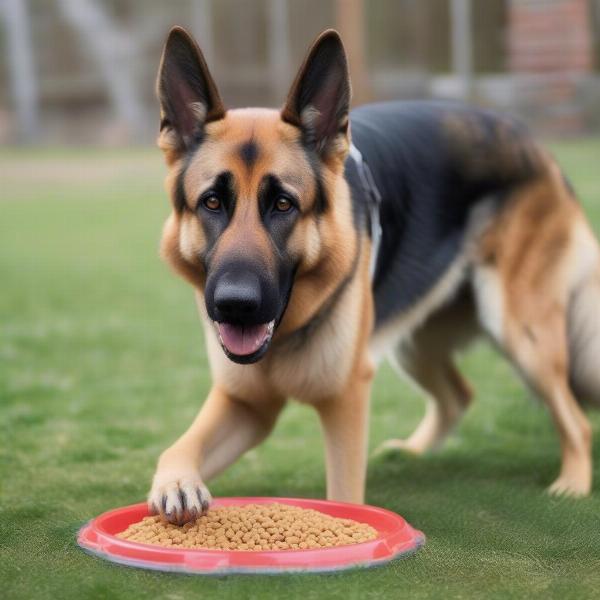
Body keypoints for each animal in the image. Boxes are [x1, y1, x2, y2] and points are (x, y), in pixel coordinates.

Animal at [149, 27, 600, 524]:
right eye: (211, 202)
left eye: (283, 204)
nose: (234, 304)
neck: (288, 332)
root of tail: (531, 143)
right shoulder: (248, 405)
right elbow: (173, 449)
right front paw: (176, 484)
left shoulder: (346, 403)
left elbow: (344, 497)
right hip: (414, 342)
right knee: (459, 394)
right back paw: (411, 452)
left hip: (520, 332)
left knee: (576, 421)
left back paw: (571, 486)